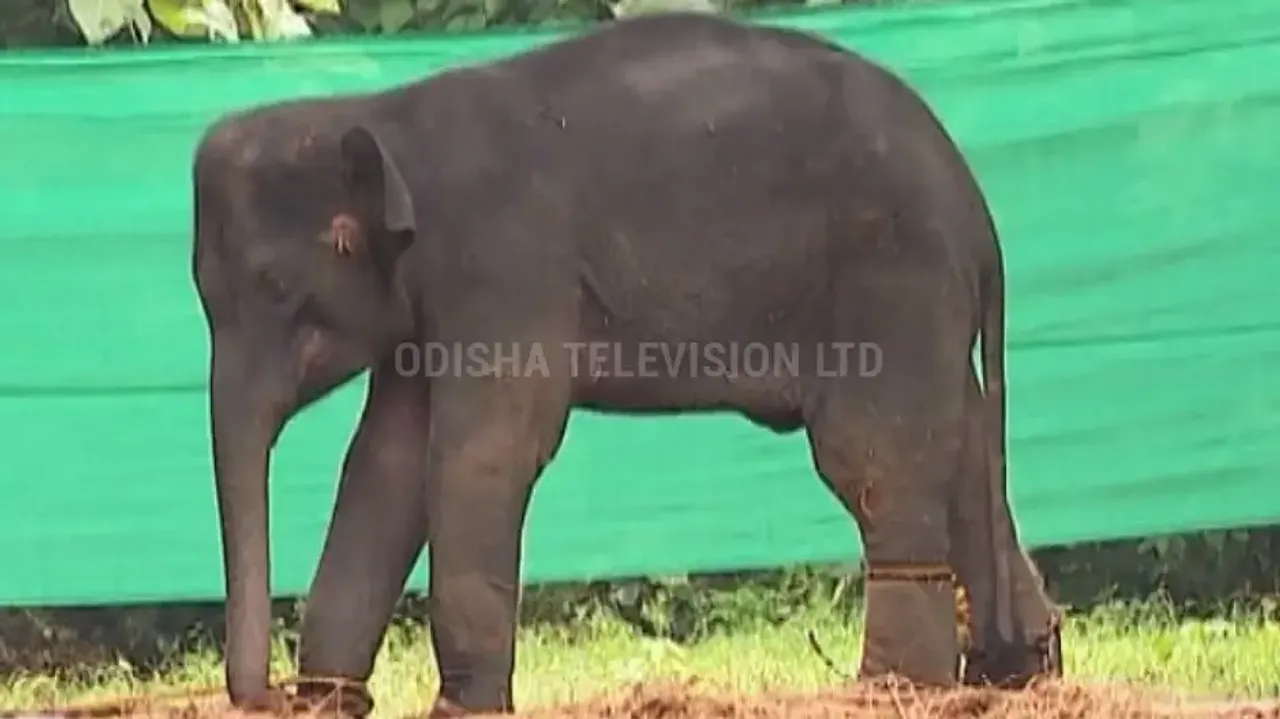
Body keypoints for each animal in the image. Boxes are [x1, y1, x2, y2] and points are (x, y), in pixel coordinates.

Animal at [189, 11, 1062, 717]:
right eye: (205, 293)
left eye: (276, 288)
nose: (274, 693)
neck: (385, 119)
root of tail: (979, 215)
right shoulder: (427, 313)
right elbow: (386, 464)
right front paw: (333, 702)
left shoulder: (507, 265)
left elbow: (485, 454)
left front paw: (460, 708)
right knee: (962, 450)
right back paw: (1018, 675)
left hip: (891, 281)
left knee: (875, 460)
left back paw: (894, 691)